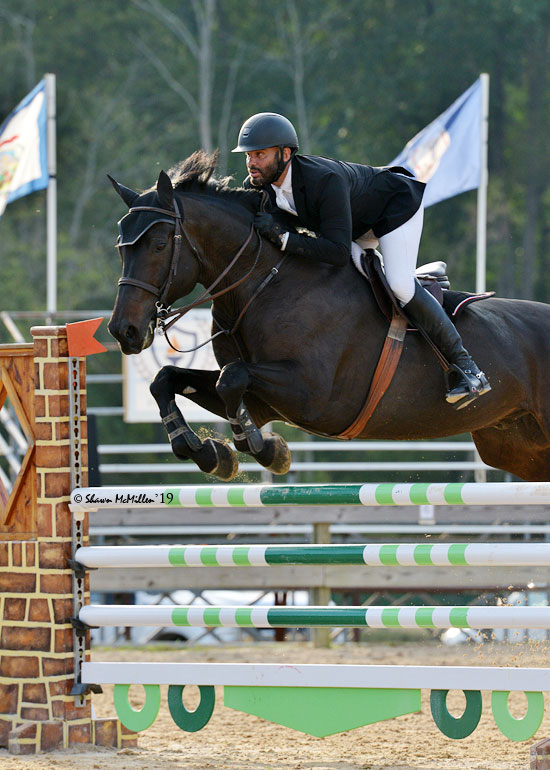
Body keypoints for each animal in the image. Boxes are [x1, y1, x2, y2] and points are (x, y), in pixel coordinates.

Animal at [109, 150, 550, 480]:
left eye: (160, 244)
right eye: (120, 246)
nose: (123, 331)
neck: (264, 283)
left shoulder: (313, 395)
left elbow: (230, 379)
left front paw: (263, 448)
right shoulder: (265, 401)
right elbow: (169, 380)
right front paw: (209, 453)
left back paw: (468, 377)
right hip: (514, 445)